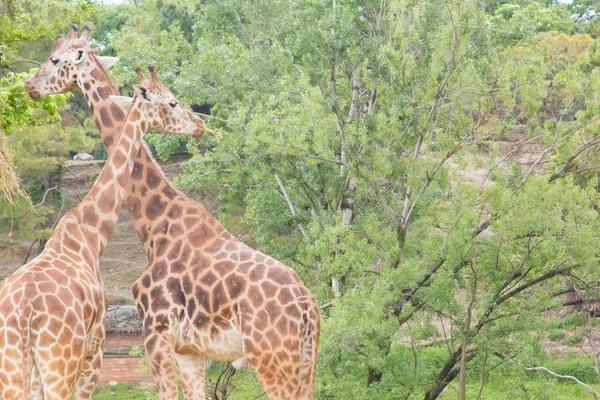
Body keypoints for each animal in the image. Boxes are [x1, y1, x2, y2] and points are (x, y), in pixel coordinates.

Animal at [0, 63, 205, 400]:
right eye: (172, 101)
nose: (199, 124)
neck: (91, 233)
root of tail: (24, 314)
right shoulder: (95, 348)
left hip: (14, 366)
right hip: (60, 362)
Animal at [24, 25, 318, 400]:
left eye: (54, 60)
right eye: (173, 101)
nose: (30, 85)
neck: (155, 221)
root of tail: (309, 307)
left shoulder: (156, 333)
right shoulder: (189, 350)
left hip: (270, 357)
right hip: (304, 361)